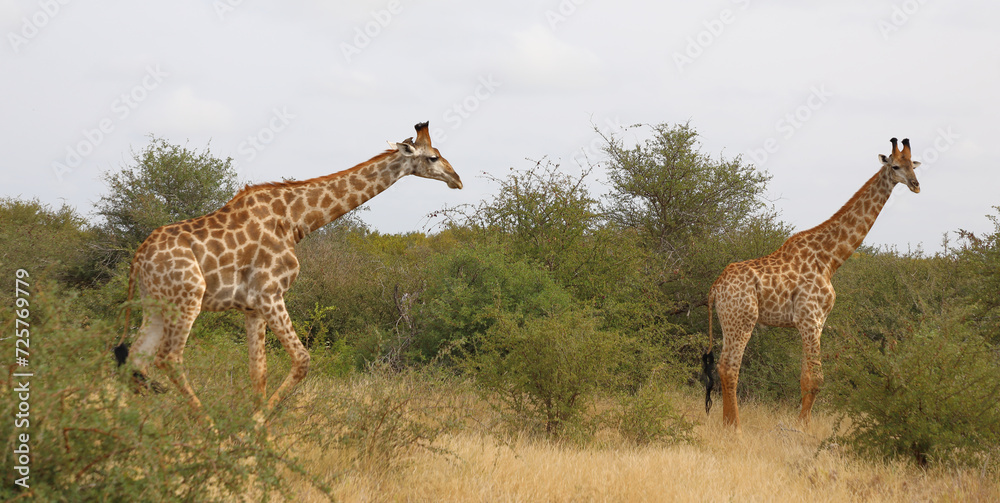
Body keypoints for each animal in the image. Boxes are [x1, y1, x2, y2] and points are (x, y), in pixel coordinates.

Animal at [115, 122, 462, 417]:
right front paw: (254, 429)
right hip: (187, 298)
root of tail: (139, 257)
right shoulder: (270, 294)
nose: (457, 179)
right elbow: (302, 360)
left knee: (134, 359)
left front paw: (258, 436)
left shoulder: (252, 307)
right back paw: (207, 427)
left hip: (156, 305)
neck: (296, 220)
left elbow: (258, 372)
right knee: (168, 358)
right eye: (432, 157)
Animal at [703, 137, 921, 429]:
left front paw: (801, 425)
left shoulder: (818, 321)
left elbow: (805, 378)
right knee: (730, 367)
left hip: (729, 321)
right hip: (742, 319)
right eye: (896, 166)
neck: (829, 258)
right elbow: (816, 379)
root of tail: (715, 288)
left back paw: (728, 423)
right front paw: (800, 428)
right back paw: (736, 428)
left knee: (722, 365)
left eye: (914, 165)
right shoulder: (809, 317)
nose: (916, 185)